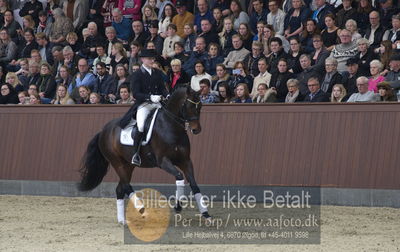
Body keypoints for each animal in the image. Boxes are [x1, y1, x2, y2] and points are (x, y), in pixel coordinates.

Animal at [77, 87, 209, 224]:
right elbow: (179, 177)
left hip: (128, 165)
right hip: (117, 163)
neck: (171, 127)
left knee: (120, 188)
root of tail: (103, 131)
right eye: (188, 106)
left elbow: (194, 184)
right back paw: (142, 210)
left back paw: (122, 220)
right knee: (126, 186)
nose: (196, 130)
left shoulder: (185, 160)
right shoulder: (163, 161)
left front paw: (205, 213)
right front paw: (178, 206)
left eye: (200, 106)